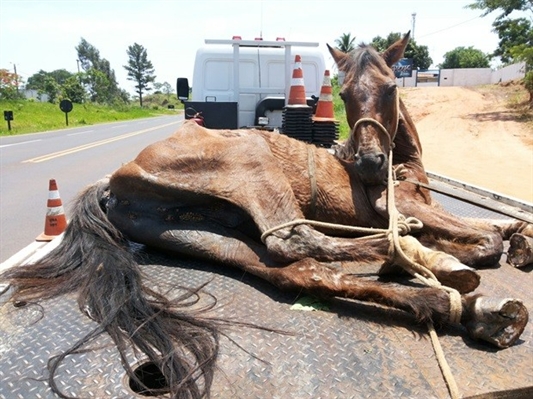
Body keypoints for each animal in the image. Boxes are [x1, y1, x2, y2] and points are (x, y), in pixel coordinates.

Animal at [2, 34, 528, 399]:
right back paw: (409, 257)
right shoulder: (397, 204)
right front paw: (453, 253)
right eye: (345, 94)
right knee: (298, 241)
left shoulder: (425, 203)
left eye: (388, 90)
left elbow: (488, 228)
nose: (368, 163)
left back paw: (461, 307)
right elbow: (483, 241)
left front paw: (515, 234)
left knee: (299, 272)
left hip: (206, 235)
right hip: (255, 171)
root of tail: (116, 179)